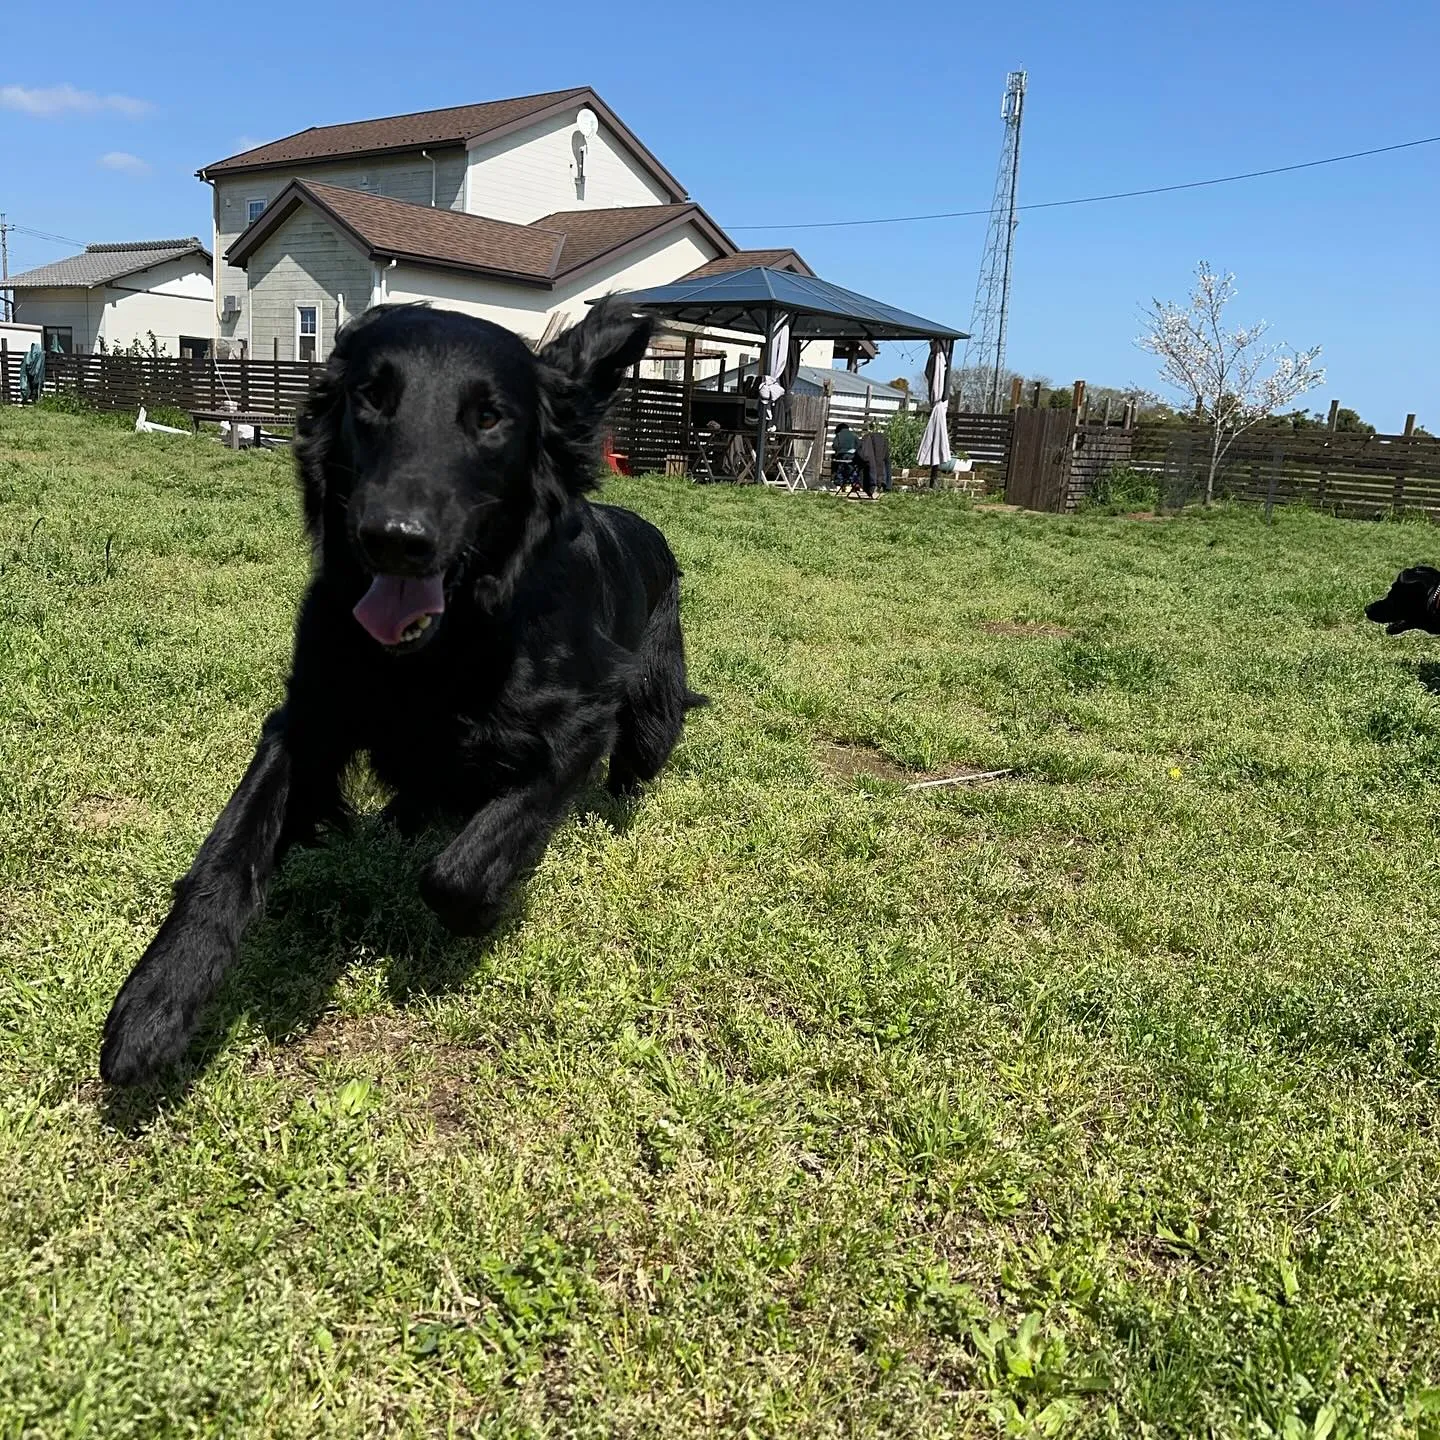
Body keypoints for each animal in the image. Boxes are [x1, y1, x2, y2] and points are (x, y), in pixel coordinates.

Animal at [98, 306, 705, 1088]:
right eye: (372, 397)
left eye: (489, 417)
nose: (394, 539)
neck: (444, 646)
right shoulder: (310, 717)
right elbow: (227, 854)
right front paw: (157, 1001)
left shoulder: (577, 726)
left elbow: (459, 870)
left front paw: (480, 912)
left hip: (652, 716)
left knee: (631, 765)